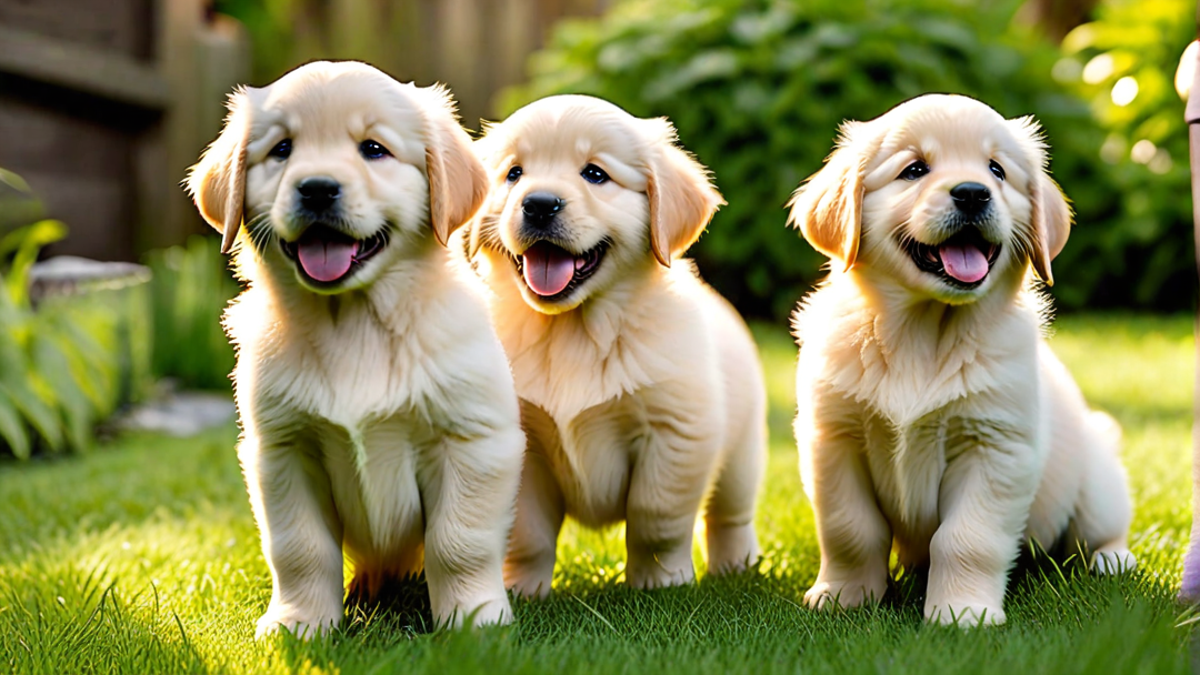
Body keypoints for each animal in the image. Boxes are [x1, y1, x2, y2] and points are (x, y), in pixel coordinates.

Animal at [187, 60, 525, 634]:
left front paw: (474, 620)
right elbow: (299, 548)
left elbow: (458, 543)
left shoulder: (473, 441)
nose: (317, 189)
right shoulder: (283, 450)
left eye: (373, 149)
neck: (355, 323)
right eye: (282, 149)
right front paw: (300, 623)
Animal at [463, 96, 763, 593]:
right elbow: (528, 531)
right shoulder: (523, 444)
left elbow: (654, 518)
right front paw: (524, 588)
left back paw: (737, 564)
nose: (539, 204)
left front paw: (659, 582)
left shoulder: (676, 433)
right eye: (514, 174)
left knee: (730, 516)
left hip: (742, 454)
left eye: (595, 174)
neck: (573, 330)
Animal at [787, 91, 1132, 624]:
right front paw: (845, 596)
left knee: (1101, 530)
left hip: (1095, 482)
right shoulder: (833, 438)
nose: (972, 193)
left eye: (996, 170)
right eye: (914, 169)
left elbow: (966, 539)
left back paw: (1113, 559)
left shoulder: (995, 448)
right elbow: (850, 529)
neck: (923, 334)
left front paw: (962, 614)